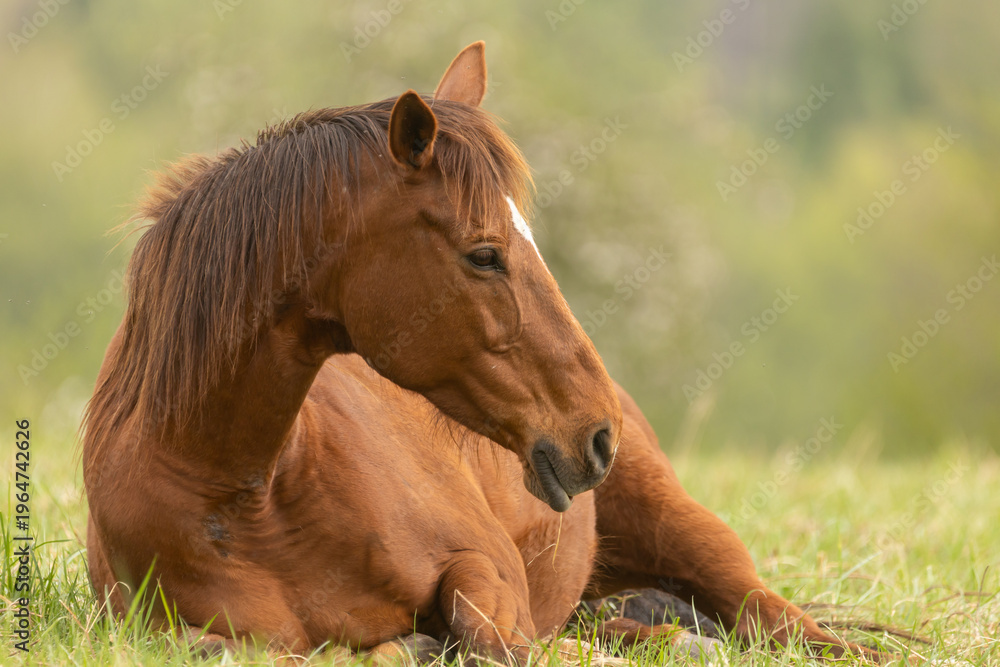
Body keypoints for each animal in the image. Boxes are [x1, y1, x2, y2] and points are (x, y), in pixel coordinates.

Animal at [82, 42, 889, 663]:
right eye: (484, 254)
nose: (596, 434)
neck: (246, 491)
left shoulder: (484, 568)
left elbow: (496, 641)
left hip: (692, 539)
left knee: (786, 627)